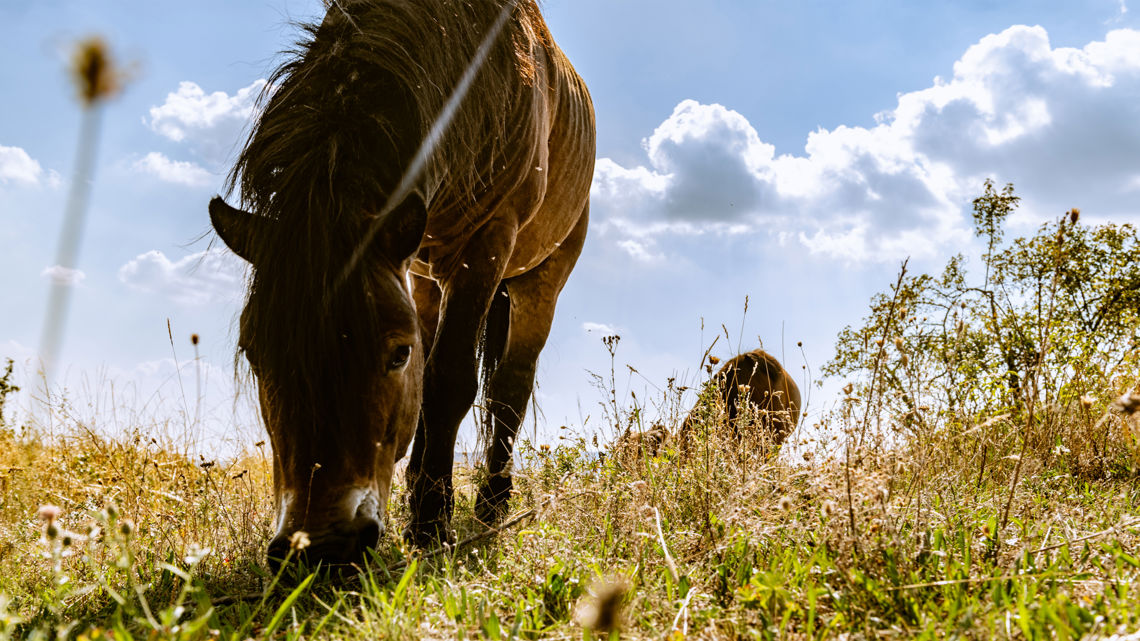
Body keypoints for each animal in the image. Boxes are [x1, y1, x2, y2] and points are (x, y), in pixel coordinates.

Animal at [207, 0, 597, 561]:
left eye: (397, 353)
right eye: (255, 353)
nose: (321, 545)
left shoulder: (489, 240)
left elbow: (451, 379)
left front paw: (433, 523)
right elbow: (431, 387)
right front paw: (424, 510)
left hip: (537, 281)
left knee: (508, 391)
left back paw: (490, 508)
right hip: (425, 277)